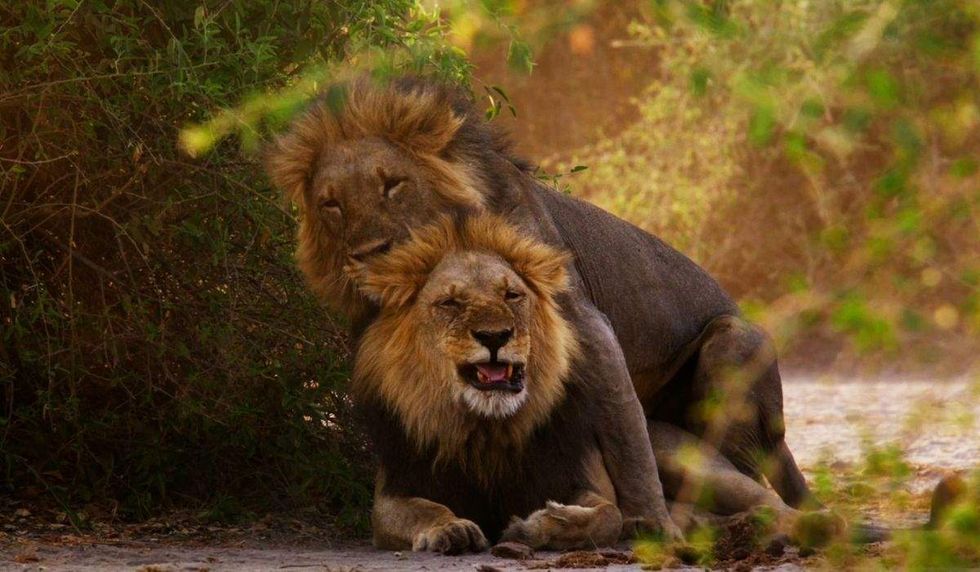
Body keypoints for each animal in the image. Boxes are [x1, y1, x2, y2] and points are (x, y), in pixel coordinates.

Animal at [348, 215, 623, 552]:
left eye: (512, 295)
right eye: (450, 303)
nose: (494, 336)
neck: (487, 431)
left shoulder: (577, 476)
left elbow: (609, 516)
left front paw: (537, 526)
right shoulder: (394, 490)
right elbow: (422, 510)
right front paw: (451, 527)